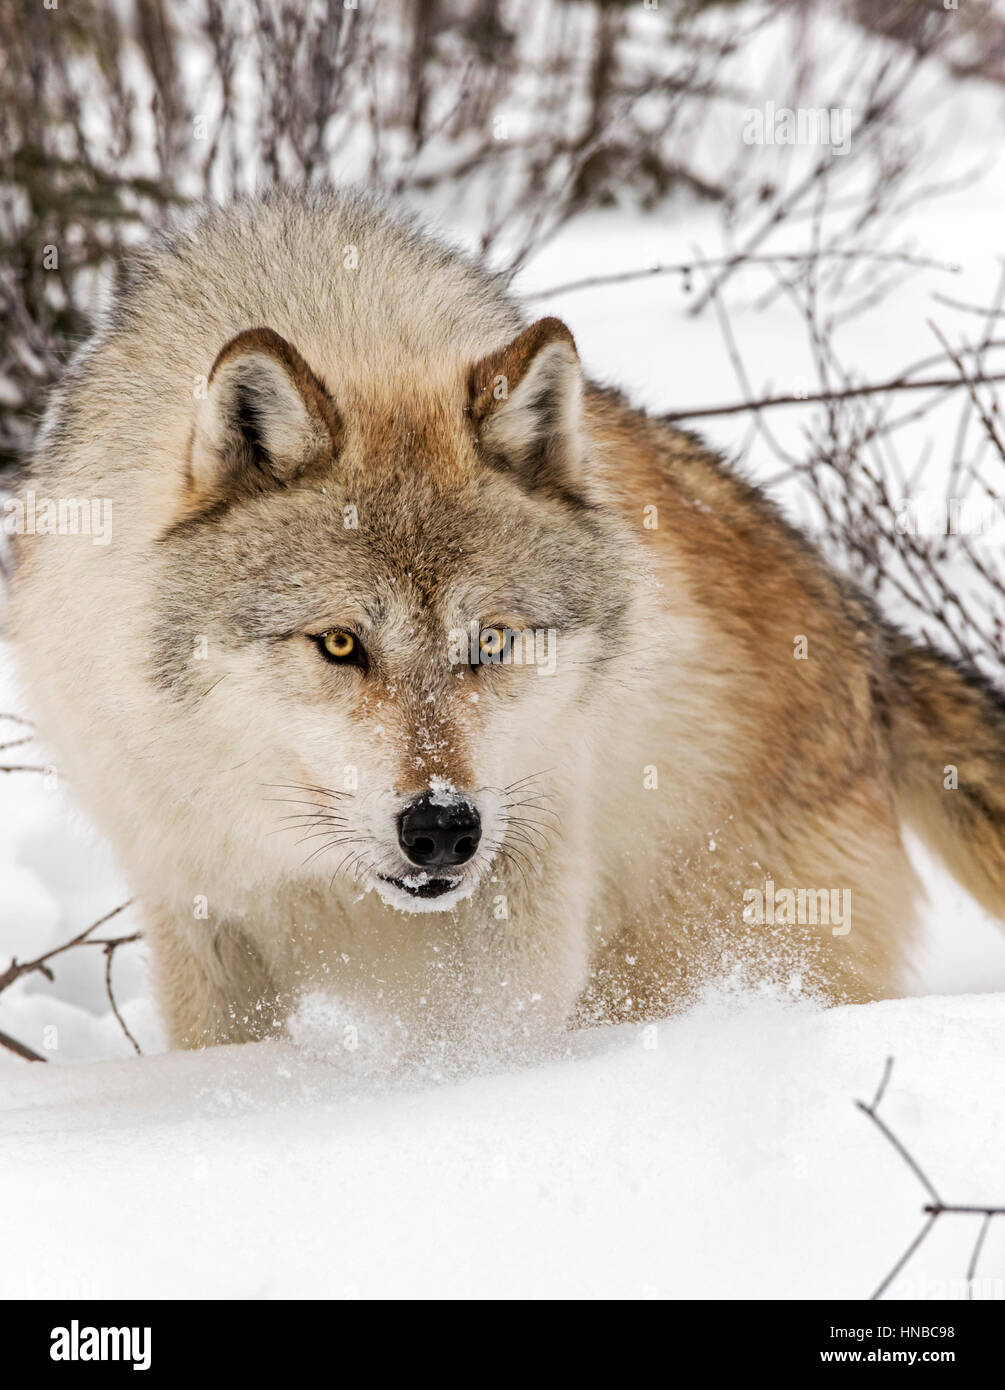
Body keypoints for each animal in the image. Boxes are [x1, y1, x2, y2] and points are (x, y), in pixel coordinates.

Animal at [7, 187, 1005, 1051]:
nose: (442, 829)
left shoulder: (517, 917)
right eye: (340, 643)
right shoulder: (198, 912)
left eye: (490, 640)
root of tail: (866, 643)